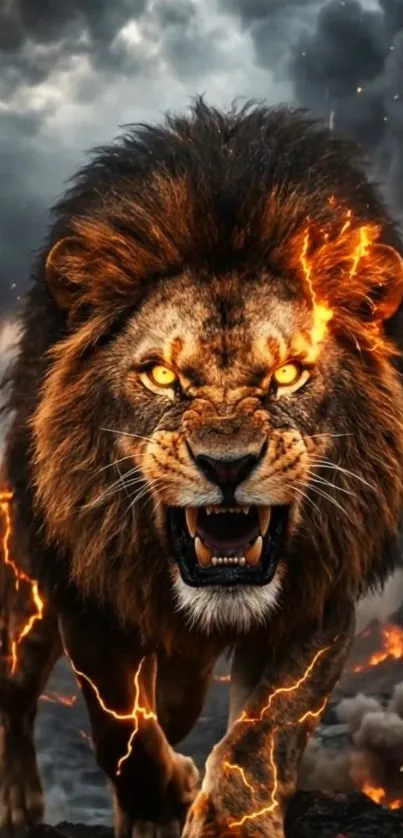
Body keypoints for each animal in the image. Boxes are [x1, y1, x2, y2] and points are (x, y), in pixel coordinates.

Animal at [1, 99, 403, 838]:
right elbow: (119, 730)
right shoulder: (89, 597)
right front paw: (162, 800)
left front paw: (233, 816)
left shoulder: (318, 598)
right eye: (162, 376)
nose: (227, 465)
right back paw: (20, 799)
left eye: (288, 374)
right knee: (17, 688)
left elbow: (269, 726)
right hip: (26, 591)